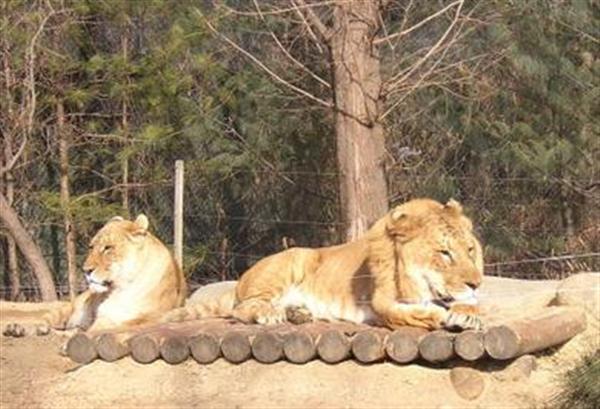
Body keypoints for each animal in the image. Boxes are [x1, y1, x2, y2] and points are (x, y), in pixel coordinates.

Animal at [44, 214, 188, 332]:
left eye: (108, 248)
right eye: (91, 247)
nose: (86, 270)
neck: (119, 289)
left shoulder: (145, 317)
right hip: (69, 308)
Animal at [163, 196, 482, 330]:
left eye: (469, 250)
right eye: (444, 253)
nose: (477, 283)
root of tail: (241, 280)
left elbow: (468, 305)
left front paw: (467, 313)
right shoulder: (382, 304)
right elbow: (412, 314)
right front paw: (441, 315)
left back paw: (298, 314)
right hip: (290, 260)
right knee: (241, 309)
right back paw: (271, 315)